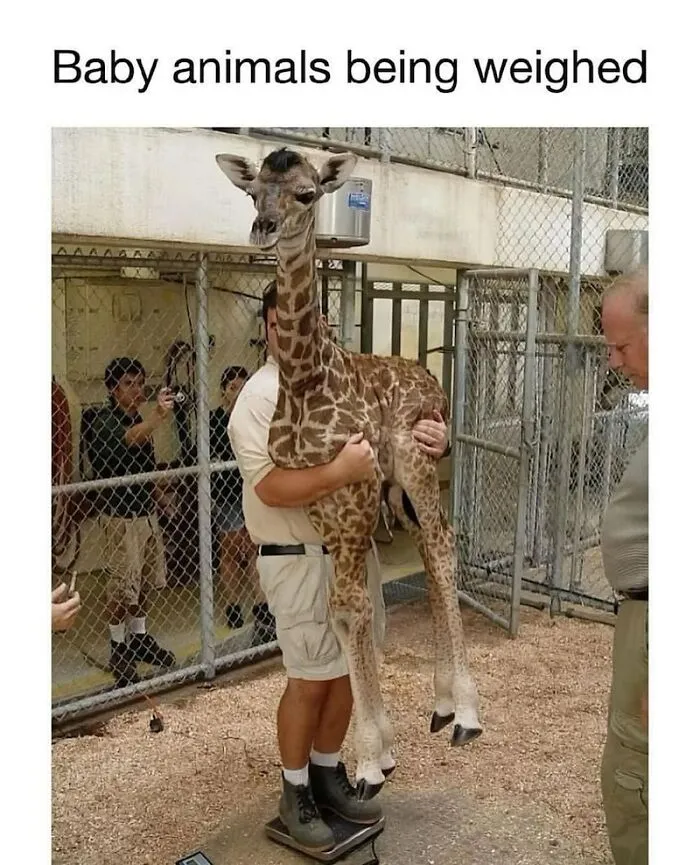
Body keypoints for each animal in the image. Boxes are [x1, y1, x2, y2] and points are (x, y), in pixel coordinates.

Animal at [215, 146, 482, 799]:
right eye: (252, 192)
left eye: (307, 193)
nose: (263, 229)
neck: (305, 381)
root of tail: (433, 382)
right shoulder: (327, 507)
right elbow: (342, 611)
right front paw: (378, 752)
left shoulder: (355, 496)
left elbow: (355, 607)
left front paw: (365, 763)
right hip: (398, 495)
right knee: (430, 556)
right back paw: (441, 705)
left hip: (415, 465)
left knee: (443, 549)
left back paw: (466, 713)